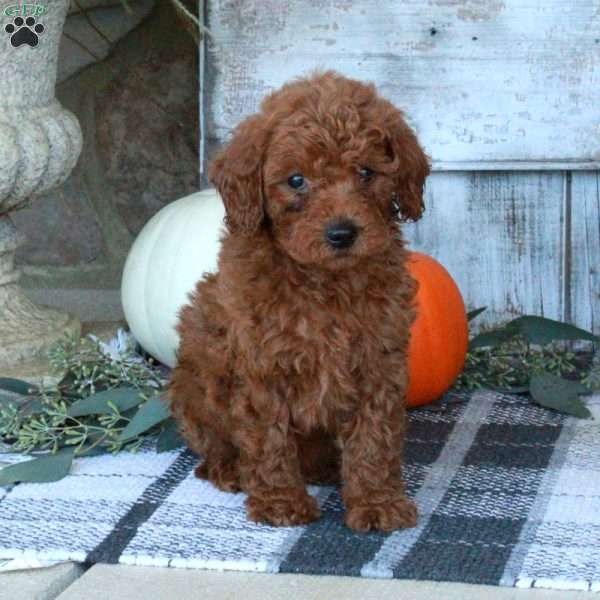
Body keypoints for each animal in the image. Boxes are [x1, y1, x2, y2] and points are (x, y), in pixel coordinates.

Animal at [171, 70, 428, 528]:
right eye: (296, 180)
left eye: (366, 172)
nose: (342, 233)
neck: (324, 282)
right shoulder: (261, 367)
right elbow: (269, 439)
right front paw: (279, 502)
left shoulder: (378, 362)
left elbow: (374, 440)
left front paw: (377, 502)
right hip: (192, 387)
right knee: (215, 443)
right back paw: (229, 469)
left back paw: (325, 467)